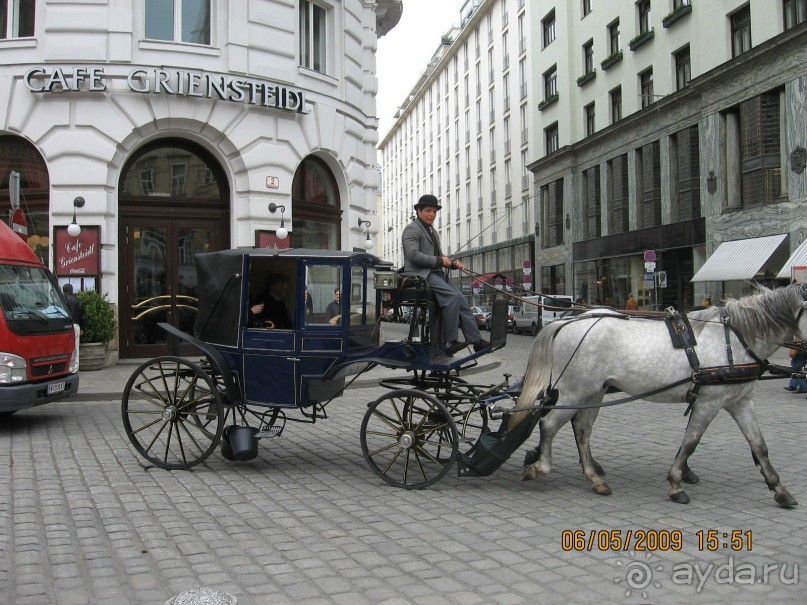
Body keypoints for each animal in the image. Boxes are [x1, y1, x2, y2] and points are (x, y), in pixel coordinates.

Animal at [512, 282, 807, 504]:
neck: (734, 340)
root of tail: (566, 323)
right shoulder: (709, 403)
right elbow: (690, 442)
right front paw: (676, 483)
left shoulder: (740, 402)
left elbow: (759, 446)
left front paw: (779, 489)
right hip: (574, 392)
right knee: (548, 424)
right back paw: (540, 465)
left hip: (591, 393)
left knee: (581, 431)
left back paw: (594, 478)